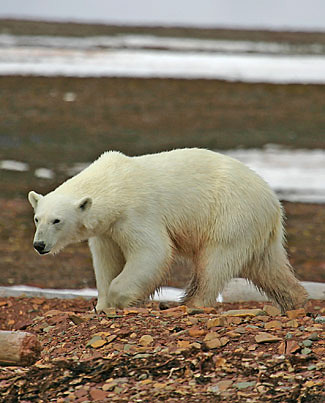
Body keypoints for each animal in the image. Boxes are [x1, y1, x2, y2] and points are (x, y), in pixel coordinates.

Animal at [28, 149, 306, 312]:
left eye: (57, 220)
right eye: (37, 218)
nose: (39, 245)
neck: (114, 184)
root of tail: (273, 201)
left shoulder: (137, 212)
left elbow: (153, 251)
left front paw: (121, 298)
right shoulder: (107, 230)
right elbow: (107, 261)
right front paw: (102, 305)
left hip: (231, 215)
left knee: (216, 261)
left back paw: (192, 303)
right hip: (256, 229)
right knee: (268, 267)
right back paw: (295, 299)